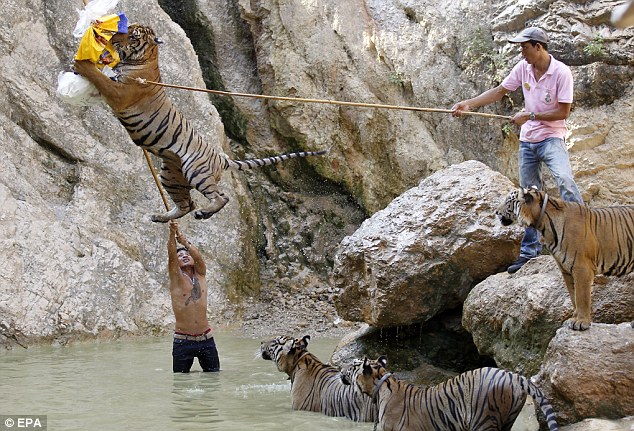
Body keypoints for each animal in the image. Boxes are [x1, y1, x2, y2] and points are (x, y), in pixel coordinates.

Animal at [74, 23, 326, 224]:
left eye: (133, 36)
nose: (113, 40)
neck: (143, 59)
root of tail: (222, 159)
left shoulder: (121, 92)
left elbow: (101, 78)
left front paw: (81, 63)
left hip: (196, 171)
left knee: (221, 197)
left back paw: (203, 213)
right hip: (171, 176)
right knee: (188, 204)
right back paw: (162, 217)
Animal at [496, 188, 628, 330]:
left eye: (508, 201)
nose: (496, 212)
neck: (543, 224)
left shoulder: (582, 267)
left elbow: (582, 296)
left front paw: (581, 322)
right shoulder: (566, 268)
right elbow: (573, 295)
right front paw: (574, 318)